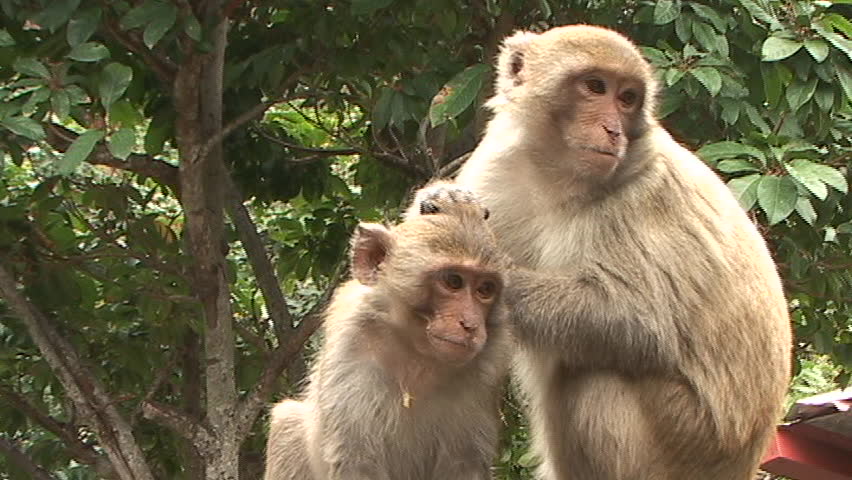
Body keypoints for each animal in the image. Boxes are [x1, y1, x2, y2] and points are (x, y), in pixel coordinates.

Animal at [263, 200, 511, 480]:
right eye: (453, 281)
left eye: (485, 289)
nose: (470, 325)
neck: (417, 351)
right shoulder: (351, 344)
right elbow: (357, 460)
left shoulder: (489, 365)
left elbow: (464, 465)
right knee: (288, 420)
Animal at [407, 25, 792, 480]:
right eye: (595, 87)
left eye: (627, 98)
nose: (613, 130)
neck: (556, 179)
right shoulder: (498, 167)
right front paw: (436, 203)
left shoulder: (643, 195)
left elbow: (639, 321)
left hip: (689, 443)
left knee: (595, 376)